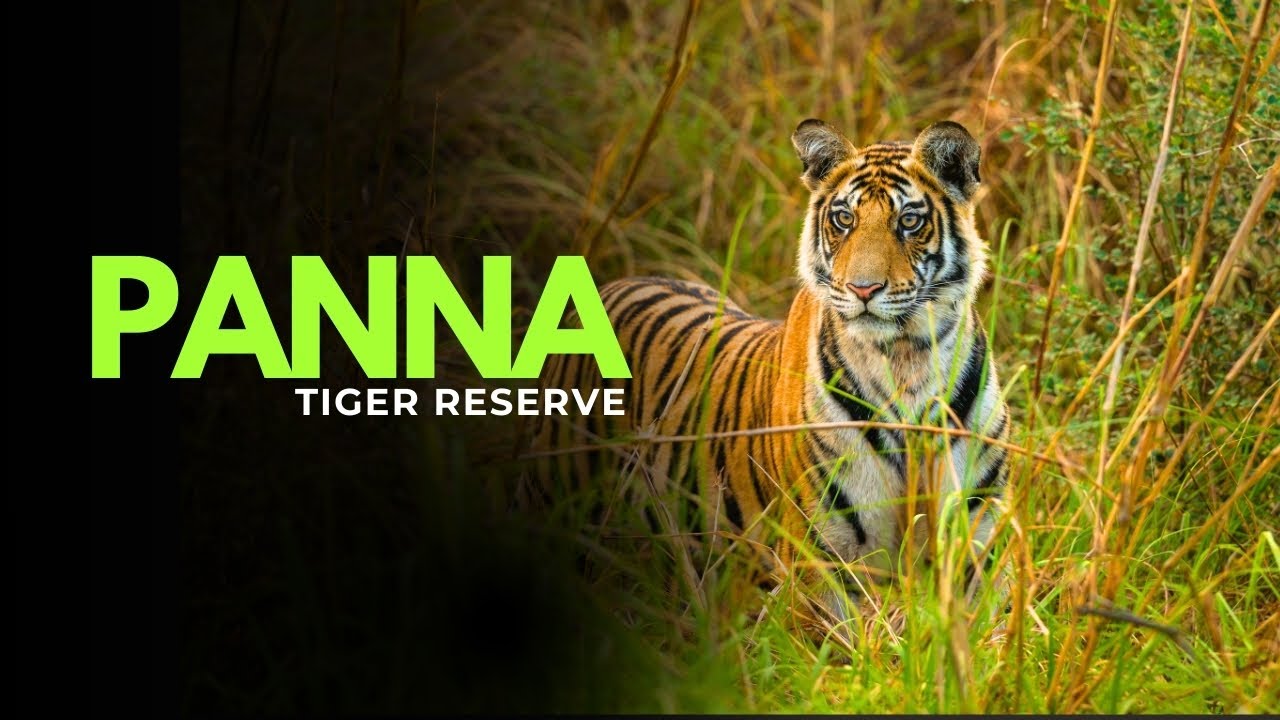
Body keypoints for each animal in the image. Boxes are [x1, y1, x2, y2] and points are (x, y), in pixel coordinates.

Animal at [527, 119, 1011, 633]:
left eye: (909, 222)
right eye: (844, 219)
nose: (862, 289)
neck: (906, 362)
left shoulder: (977, 546)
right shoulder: (821, 560)